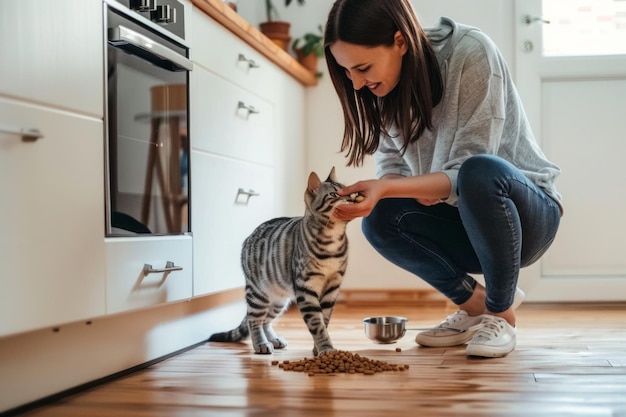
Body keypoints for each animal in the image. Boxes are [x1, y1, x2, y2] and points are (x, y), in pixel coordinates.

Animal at [208, 167, 356, 354]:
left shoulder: (332, 288)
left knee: (266, 320)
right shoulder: (306, 288)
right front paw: (326, 349)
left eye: (347, 190)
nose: (352, 198)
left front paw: (317, 349)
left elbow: (325, 320)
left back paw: (273, 339)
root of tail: (248, 238)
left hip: (278, 300)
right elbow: (317, 324)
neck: (333, 238)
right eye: (334, 194)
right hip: (258, 293)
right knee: (254, 320)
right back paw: (261, 344)